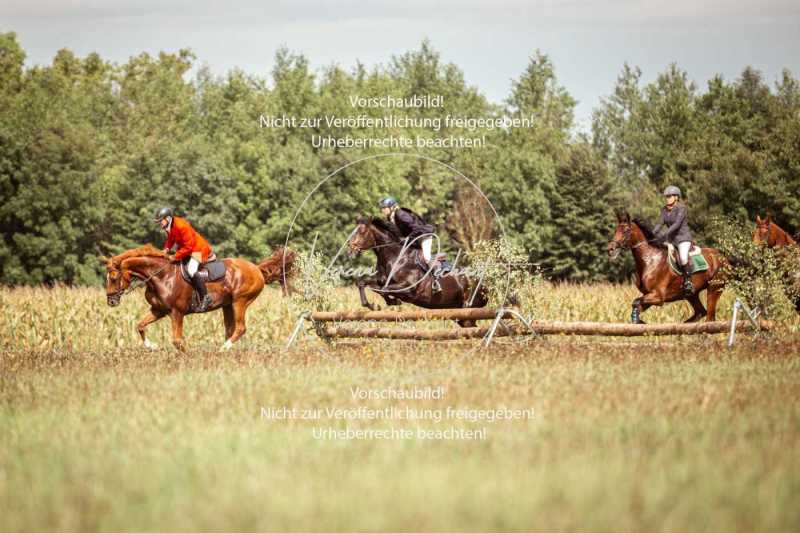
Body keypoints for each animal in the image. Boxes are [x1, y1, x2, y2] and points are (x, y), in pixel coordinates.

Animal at [103, 244, 296, 350]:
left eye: (113, 277)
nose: (111, 301)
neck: (161, 275)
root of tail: (256, 268)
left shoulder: (177, 312)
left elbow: (177, 341)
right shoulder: (158, 310)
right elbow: (140, 326)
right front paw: (152, 346)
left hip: (240, 302)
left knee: (240, 329)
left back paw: (222, 350)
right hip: (227, 305)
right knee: (230, 330)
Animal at [346, 215, 488, 324]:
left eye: (361, 231)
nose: (349, 248)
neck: (395, 257)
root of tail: (482, 284)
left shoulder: (408, 288)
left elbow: (383, 290)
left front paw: (392, 301)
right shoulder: (382, 282)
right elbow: (363, 284)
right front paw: (374, 306)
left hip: (468, 309)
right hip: (458, 313)